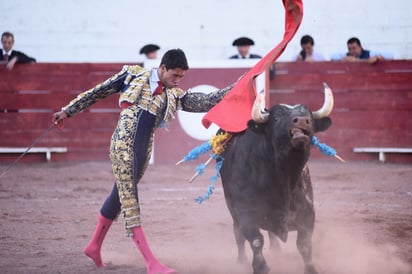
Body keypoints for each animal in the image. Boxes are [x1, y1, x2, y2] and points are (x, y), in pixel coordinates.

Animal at [217, 83, 334, 274]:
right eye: (277, 118)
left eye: (309, 116)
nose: (302, 121)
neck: (282, 175)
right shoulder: (245, 212)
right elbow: (256, 240)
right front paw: (260, 267)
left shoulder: (307, 212)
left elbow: (304, 244)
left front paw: (311, 269)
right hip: (232, 207)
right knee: (238, 234)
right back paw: (241, 261)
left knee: (272, 235)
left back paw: (276, 252)